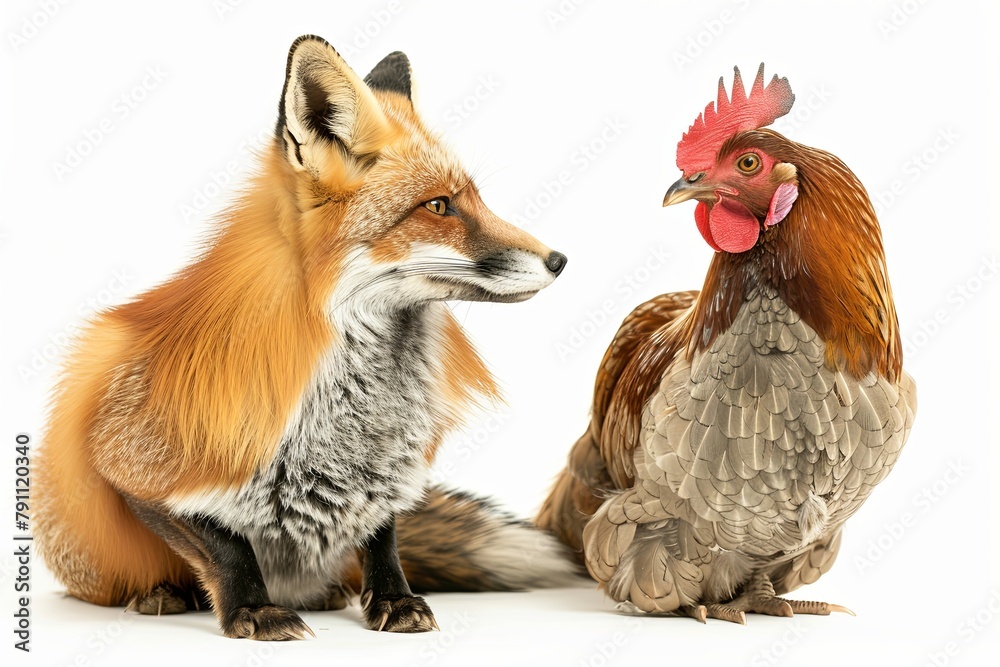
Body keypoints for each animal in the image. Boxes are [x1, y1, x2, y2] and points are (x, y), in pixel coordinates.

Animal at [34, 35, 573, 640]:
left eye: (477, 199)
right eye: (439, 206)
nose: (560, 260)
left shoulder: (386, 471)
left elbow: (382, 536)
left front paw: (393, 599)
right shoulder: (126, 463)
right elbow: (226, 544)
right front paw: (253, 610)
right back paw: (166, 593)